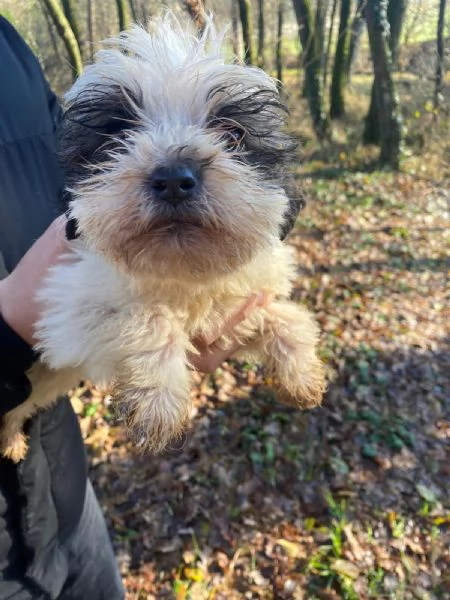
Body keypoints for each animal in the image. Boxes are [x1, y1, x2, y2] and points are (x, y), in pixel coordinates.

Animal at [0, 15, 324, 464]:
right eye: (116, 136)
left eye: (233, 134)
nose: (173, 178)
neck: (181, 275)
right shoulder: (63, 308)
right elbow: (146, 316)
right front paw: (159, 401)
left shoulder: (236, 309)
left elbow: (287, 316)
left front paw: (301, 373)